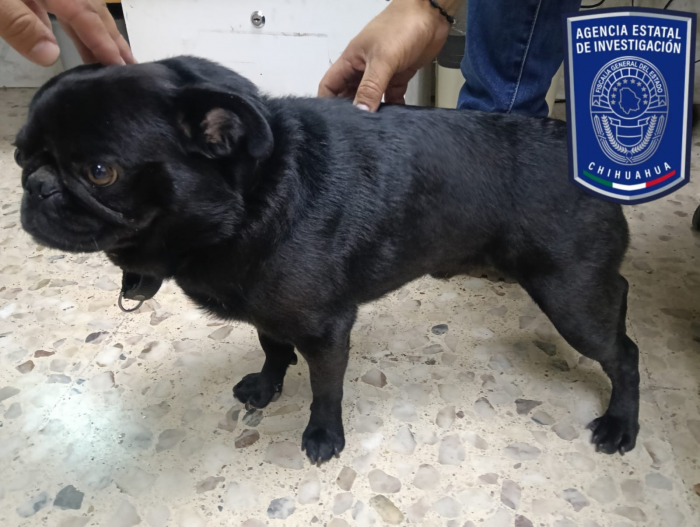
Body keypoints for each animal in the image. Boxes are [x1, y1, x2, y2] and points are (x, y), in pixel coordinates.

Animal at [17, 56, 640, 464]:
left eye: (101, 172)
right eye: (21, 155)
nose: (36, 185)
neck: (256, 199)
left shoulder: (326, 330)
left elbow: (326, 388)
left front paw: (322, 436)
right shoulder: (269, 313)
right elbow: (273, 348)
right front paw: (268, 386)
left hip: (569, 297)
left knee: (624, 354)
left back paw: (621, 423)